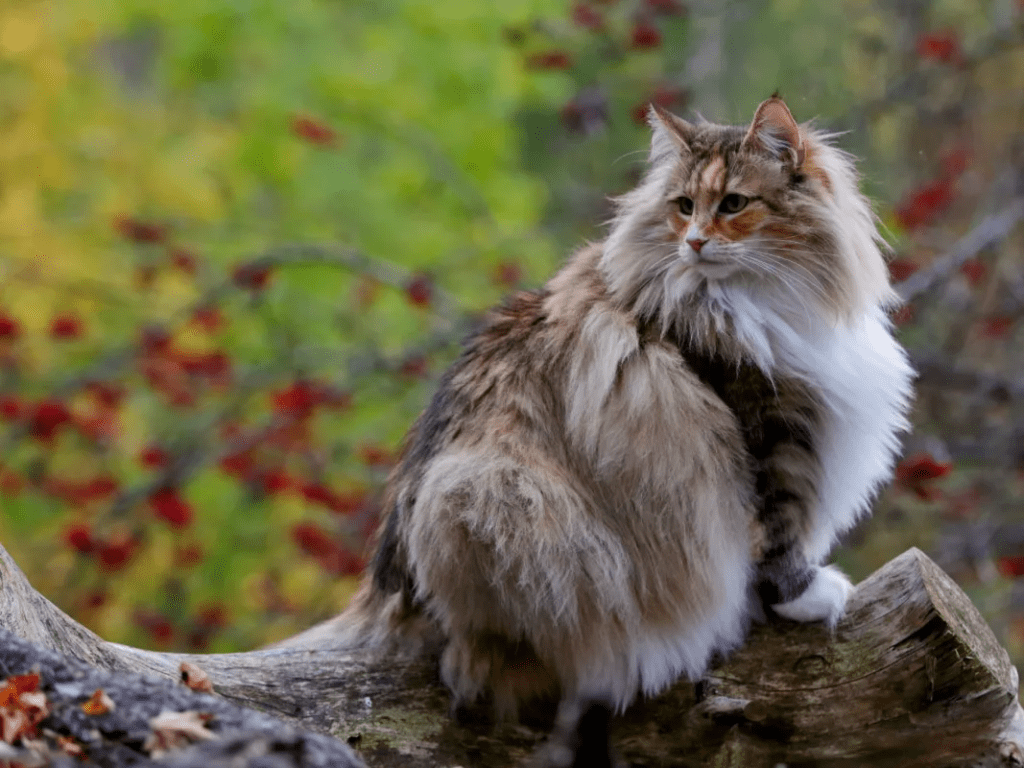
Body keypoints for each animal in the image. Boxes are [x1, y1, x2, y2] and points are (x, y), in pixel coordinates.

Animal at [329, 94, 913, 765]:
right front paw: (808, 596)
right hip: (490, 490)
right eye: (684, 206)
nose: (694, 242)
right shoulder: (771, 433)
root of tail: (387, 591)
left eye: (733, 204)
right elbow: (777, 536)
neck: (758, 301)